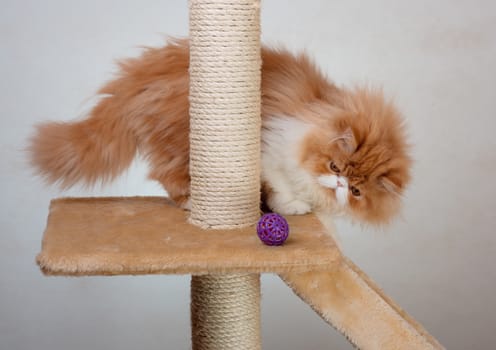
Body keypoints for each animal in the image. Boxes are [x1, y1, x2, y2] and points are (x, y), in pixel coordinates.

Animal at [29, 38, 412, 224]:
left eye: (358, 192)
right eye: (334, 166)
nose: (339, 185)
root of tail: (135, 81)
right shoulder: (271, 148)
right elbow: (282, 185)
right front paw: (290, 206)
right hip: (182, 145)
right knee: (166, 176)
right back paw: (190, 201)